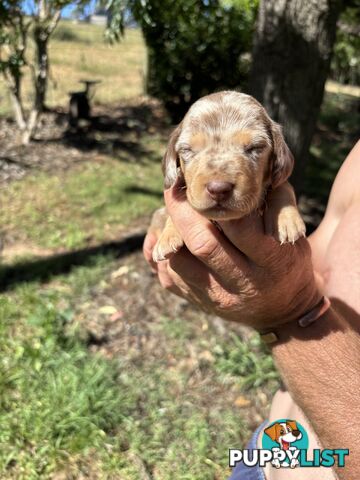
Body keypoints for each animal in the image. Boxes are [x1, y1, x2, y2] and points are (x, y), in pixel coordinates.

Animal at [150, 90, 306, 262]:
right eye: (187, 149)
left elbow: (283, 186)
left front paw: (288, 221)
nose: (218, 189)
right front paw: (167, 237)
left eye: (255, 147)